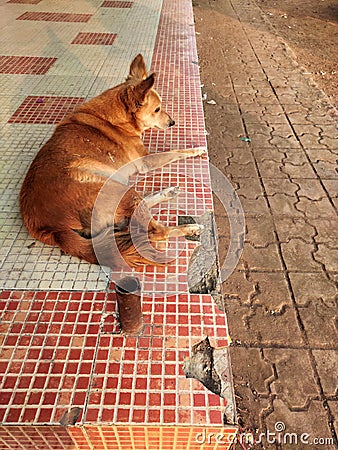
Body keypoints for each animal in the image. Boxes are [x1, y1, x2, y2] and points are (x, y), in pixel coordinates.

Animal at [19, 54, 205, 268]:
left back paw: (168, 193)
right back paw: (188, 229)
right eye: (157, 109)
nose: (173, 122)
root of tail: (51, 229)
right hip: (116, 188)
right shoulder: (146, 160)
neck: (115, 117)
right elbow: (177, 151)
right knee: (156, 232)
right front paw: (197, 150)